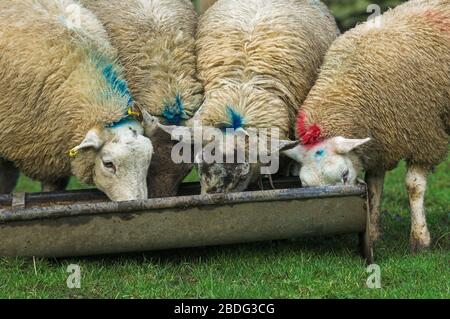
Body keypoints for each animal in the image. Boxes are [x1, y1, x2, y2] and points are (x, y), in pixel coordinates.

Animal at [284, 0, 450, 252]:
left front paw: (420, 240)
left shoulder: (424, 136)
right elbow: (373, 187)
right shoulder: (381, 141)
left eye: (344, 175)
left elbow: (413, 186)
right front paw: (373, 233)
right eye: (304, 184)